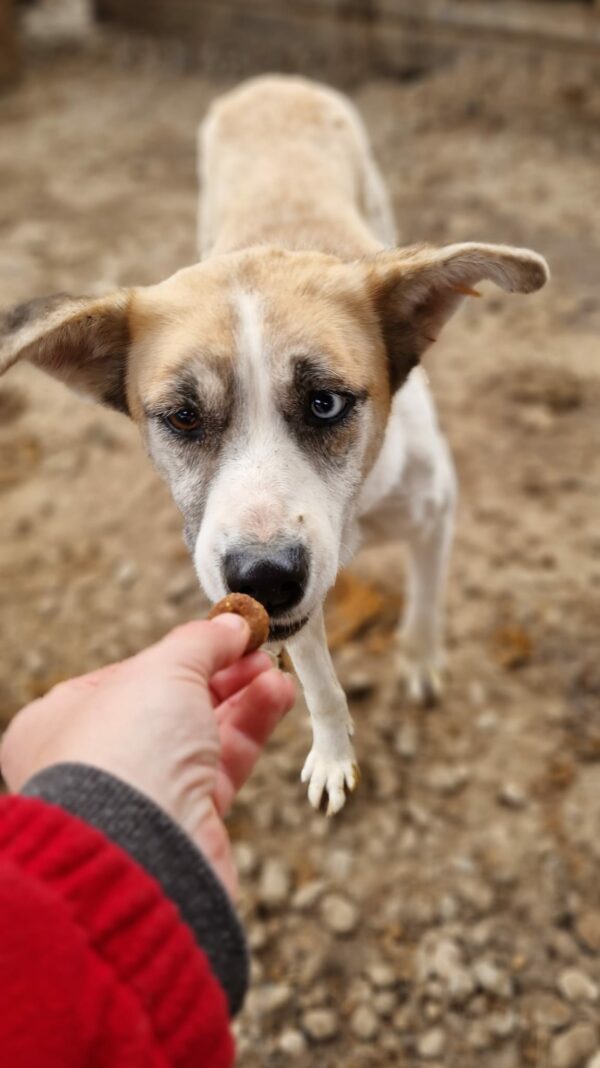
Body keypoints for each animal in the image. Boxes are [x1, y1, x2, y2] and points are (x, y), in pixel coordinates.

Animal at [0, 77, 546, 807]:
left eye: (326, 403)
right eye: (182, 417)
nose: (263, 579)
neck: (359, 507)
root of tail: (271, 83)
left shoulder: (436, 512)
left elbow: (426, 605)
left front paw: (421, 663)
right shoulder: (298, 595)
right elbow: (321, 684)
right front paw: (334, 755)